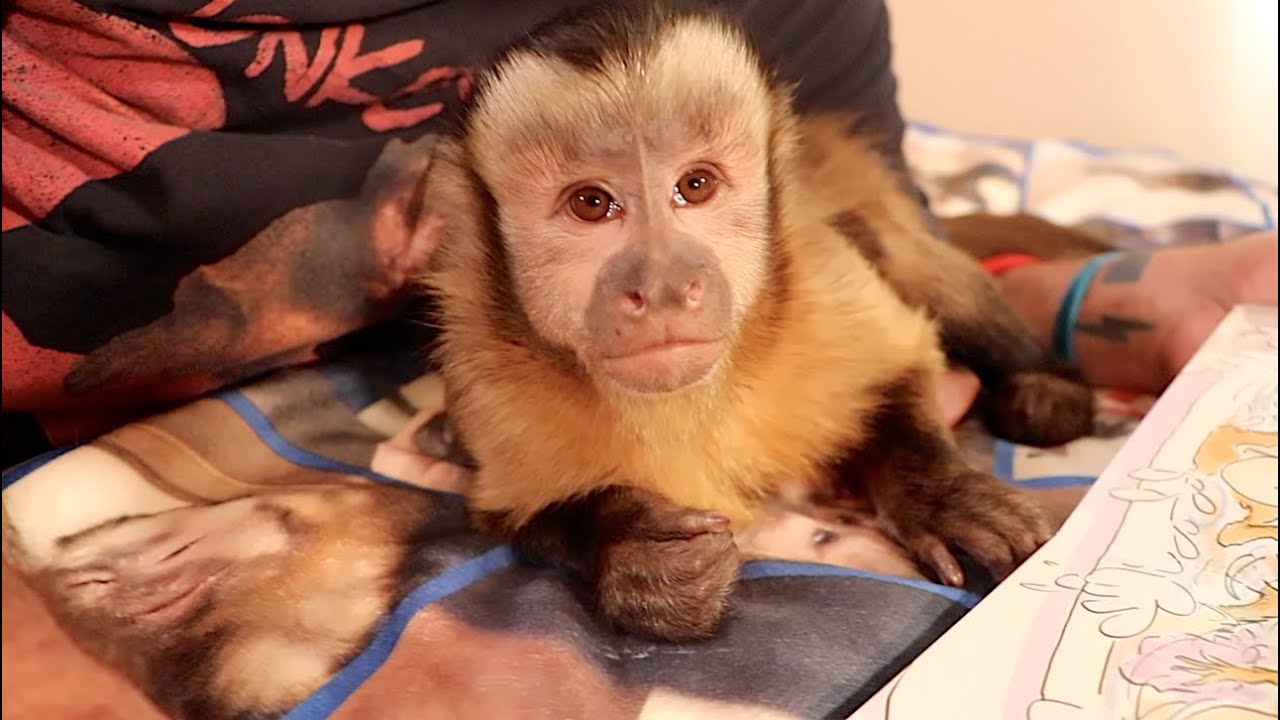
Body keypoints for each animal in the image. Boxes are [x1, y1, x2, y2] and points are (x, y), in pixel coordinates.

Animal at [421, 2, 1096, 643]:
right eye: (591, 203)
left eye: (696, 185)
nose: (663, 287)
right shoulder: (485, 372)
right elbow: (516, 515)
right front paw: (633, 549)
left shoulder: (818, 281)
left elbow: (897, 375)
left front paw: (939, 497)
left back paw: (1046, 386)